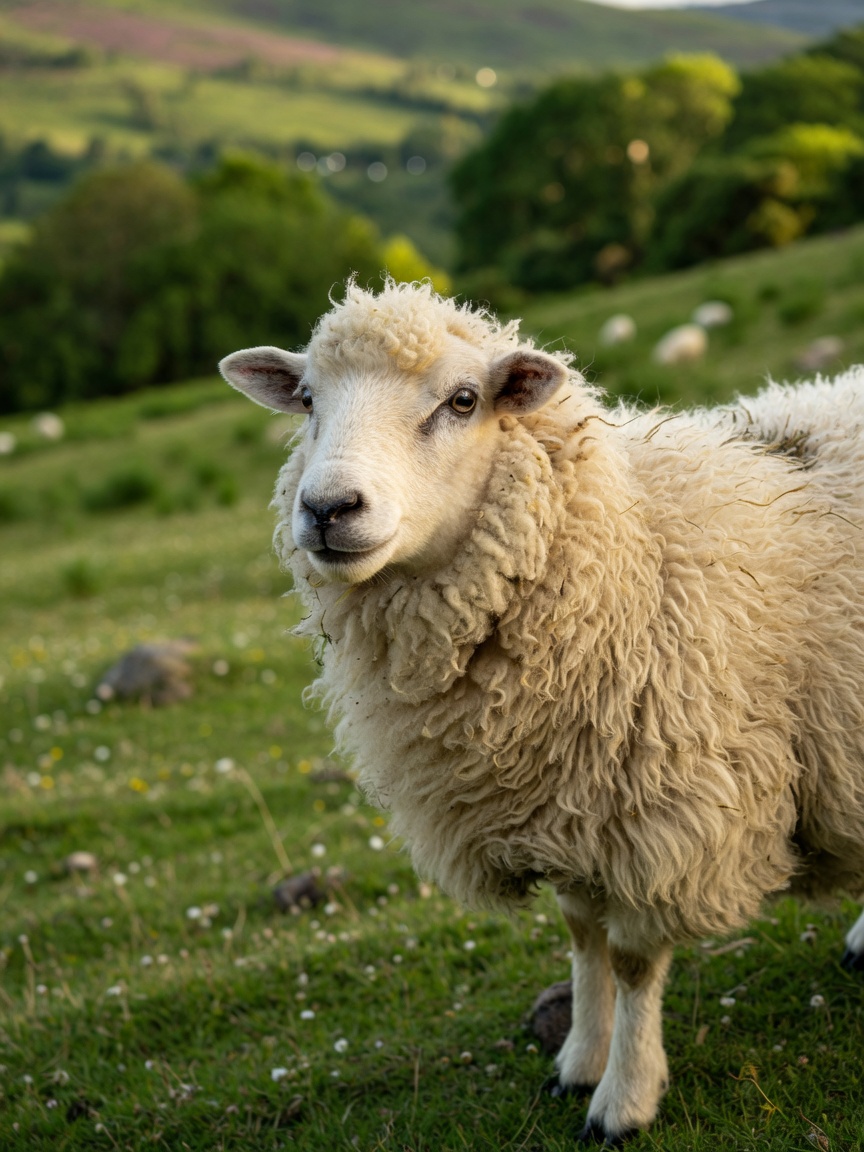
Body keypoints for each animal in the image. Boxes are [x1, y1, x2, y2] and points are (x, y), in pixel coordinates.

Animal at [220, 280, 864, 1145]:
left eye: (462, 400)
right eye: (310, 401)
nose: (327, 508)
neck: (628, 550)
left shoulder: (655, 818)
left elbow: (631, 961)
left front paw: (623, 1100)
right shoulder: (563, 805)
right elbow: (581, 935)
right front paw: (579, 1063)